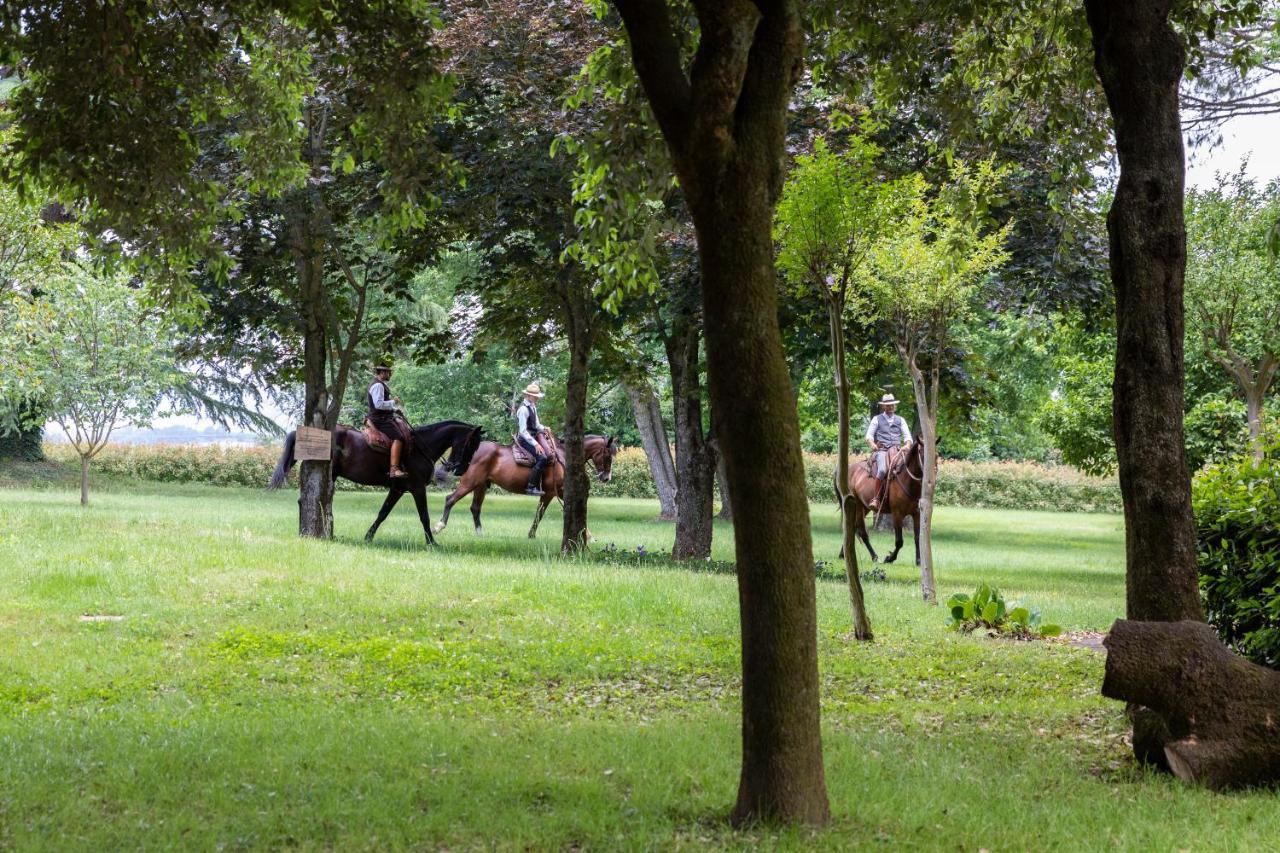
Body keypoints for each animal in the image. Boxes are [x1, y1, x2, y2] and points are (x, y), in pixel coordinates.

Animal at [268, 417, 483, 545]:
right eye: (472, 444)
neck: (420, 448)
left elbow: (383, 513)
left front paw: (368, 537)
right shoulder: (417, 488)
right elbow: (424, 516)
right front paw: (431, 542)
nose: (461, 470)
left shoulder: (397, 490)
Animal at [430, 432, 619, 537]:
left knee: (475, 508)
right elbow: (540, 514)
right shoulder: (552, 493)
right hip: (469, 482)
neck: (563, 458)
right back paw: (439, 526)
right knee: (450, 499)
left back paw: (480, 533)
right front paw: (531, 534)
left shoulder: (561, 492)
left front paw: (587, 535)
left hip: (481, 486)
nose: (606, 478)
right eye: (608, 455)